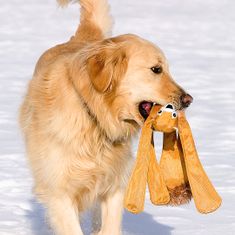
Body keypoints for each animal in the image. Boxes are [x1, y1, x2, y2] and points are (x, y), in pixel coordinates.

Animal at [20, 0, 193, 235]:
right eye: (156, 69)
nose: (188, 99)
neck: (94, 117)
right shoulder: (59, 192)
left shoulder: (113, 186)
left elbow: (110, 226)